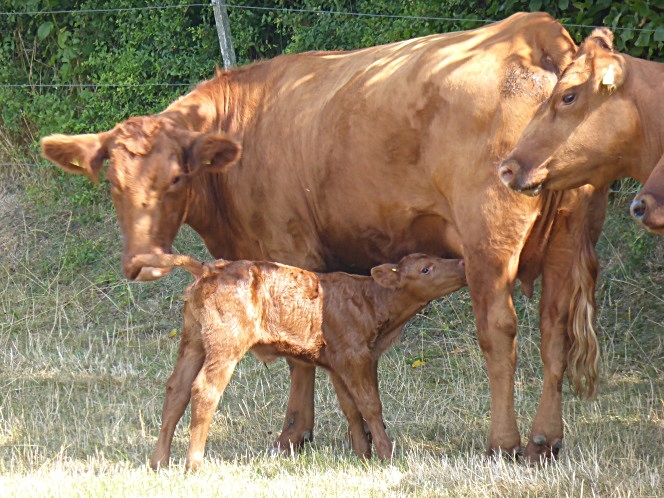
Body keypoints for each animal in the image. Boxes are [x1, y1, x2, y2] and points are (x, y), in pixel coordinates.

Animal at [136, 253, 466, 470]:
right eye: (426, 269)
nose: (463, 262)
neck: (371, 301)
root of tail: (209, 267)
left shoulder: (337, 362)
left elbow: (350, 408)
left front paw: (363, 456)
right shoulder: (356, 355)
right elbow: (371, 405)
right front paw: (386, 455)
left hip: (193, 340)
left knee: (176, 389)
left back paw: (158, 462)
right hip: (225, 342)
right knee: (204, 390)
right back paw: (194, 465)